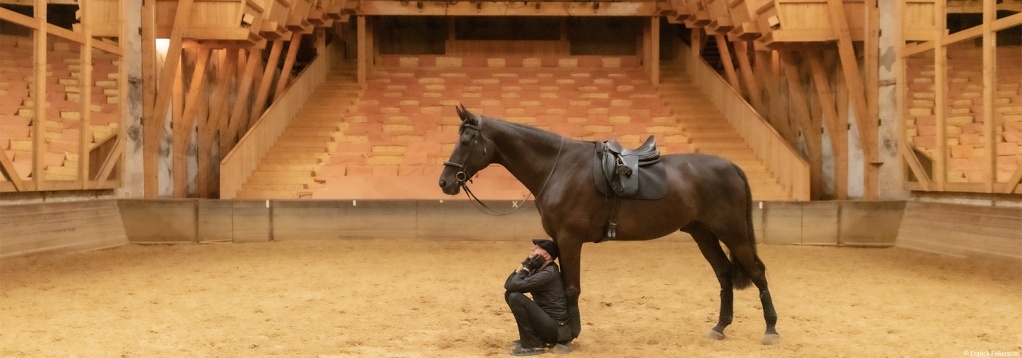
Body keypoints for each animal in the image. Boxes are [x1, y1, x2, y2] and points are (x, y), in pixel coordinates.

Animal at [439, 105, 780, 343]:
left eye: (466, 140)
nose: (445, 181)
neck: (558, 168)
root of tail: (731, 165)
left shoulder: (570, 238)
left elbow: (572, 287)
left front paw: (569, 336)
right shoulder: (559, 240)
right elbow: (565, 285)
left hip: (732, 232)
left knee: (757, 272)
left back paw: (771, 329)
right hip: (703, 233)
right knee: (724, 273)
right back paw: (720, 327)